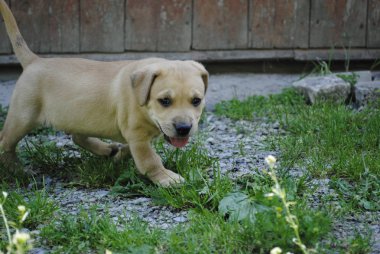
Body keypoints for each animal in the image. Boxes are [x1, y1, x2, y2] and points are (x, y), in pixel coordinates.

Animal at [0, 0, 208, 187]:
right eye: (164, 101)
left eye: (196, 101)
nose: (183, 128)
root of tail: (34, 61)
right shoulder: (137, 136)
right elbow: (150, 159)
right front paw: (166, 178)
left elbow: (132, 149)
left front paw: (120, 155)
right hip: (22, 117)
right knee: (5, 143)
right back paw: (18, 170)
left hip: (78, 116)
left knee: (78, 136)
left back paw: (106, 149)